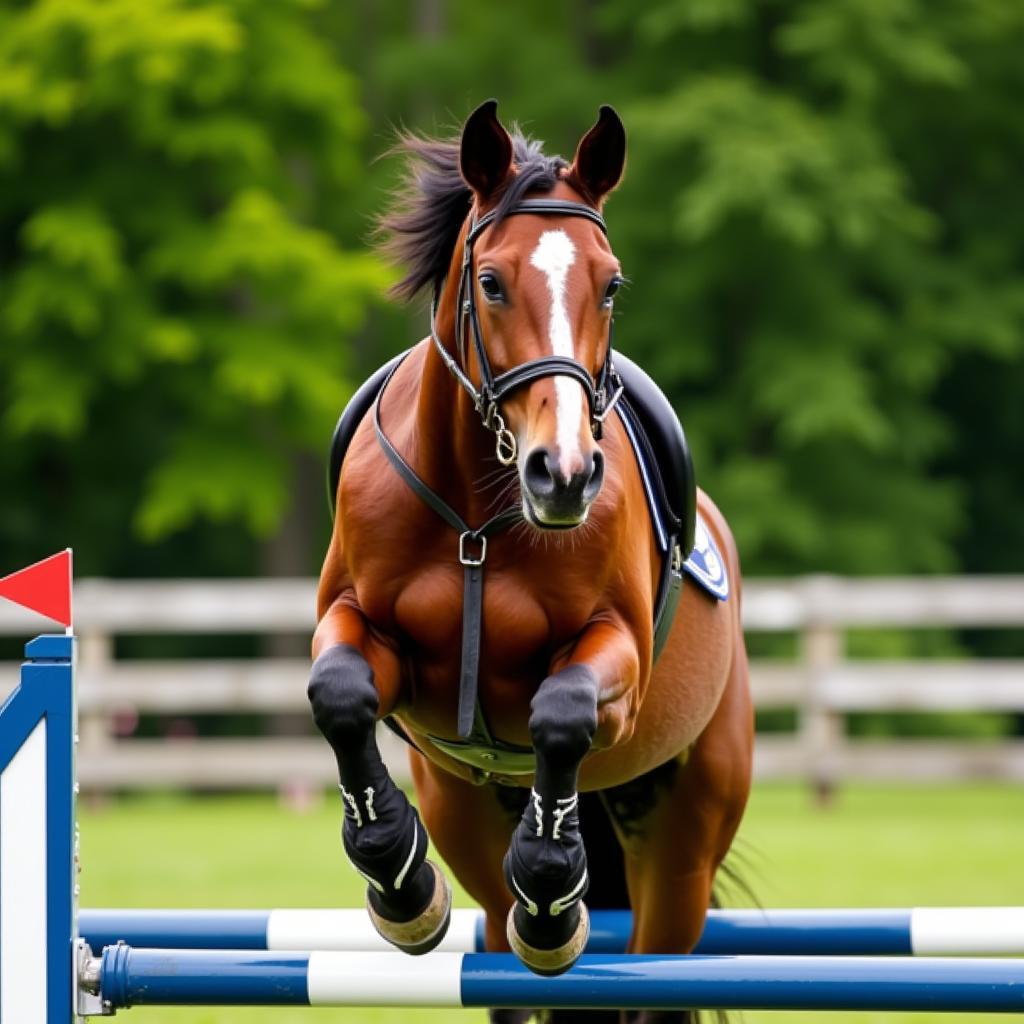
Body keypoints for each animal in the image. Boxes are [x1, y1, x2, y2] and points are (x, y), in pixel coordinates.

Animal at [305, 97, 753, 1024]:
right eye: (491, 282)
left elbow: (562, 714)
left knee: (656, 967)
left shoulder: (615, 661)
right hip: (465, 809)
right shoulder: (361, 632)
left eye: (610, 284)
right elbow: (340, 693)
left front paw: (550, 896)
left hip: (683, 843)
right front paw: (399, 880)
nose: (566, 474)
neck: (480, 514)